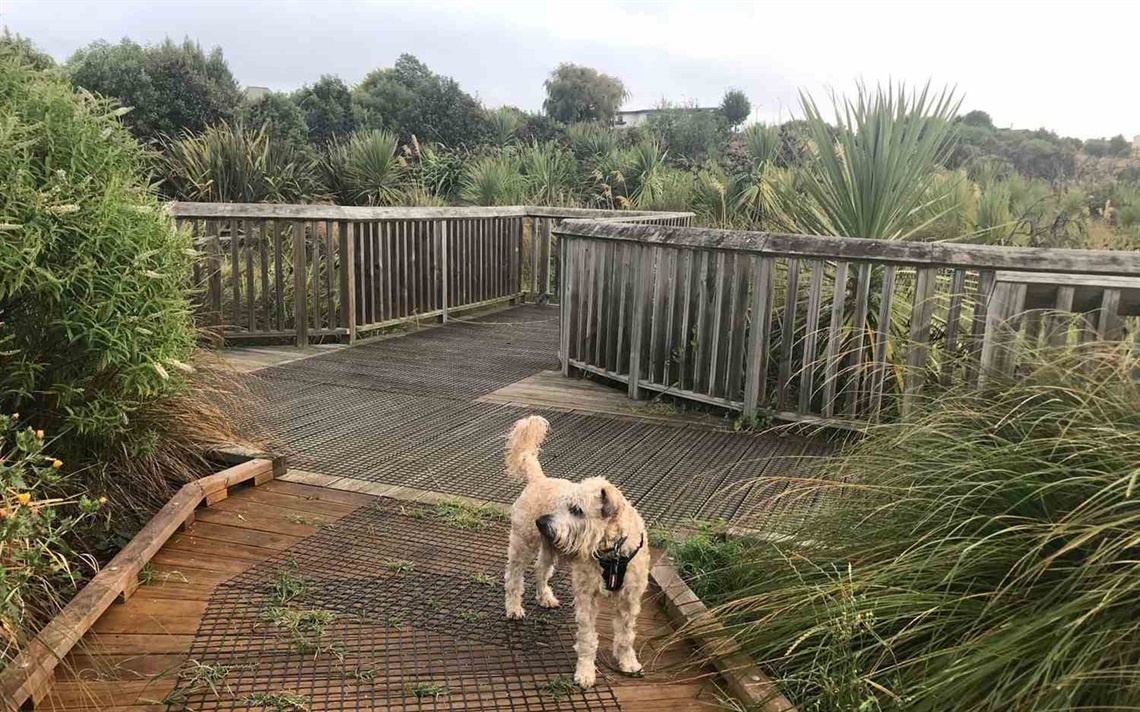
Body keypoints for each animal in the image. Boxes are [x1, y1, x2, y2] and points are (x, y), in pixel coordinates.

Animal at [501, 414, 652, 688]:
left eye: (577, 510)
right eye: (561, 505)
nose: (542, 523)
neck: (612, 552)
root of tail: (539, 478)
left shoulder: (630, 599)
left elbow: (626, 635)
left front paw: (628, 662)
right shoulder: (586, 597)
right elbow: (587, 639)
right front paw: (585, 672)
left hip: (550, 549)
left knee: (540, 570)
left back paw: (545, 597)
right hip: (522, 544)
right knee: (514, 578)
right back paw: (514, 608)